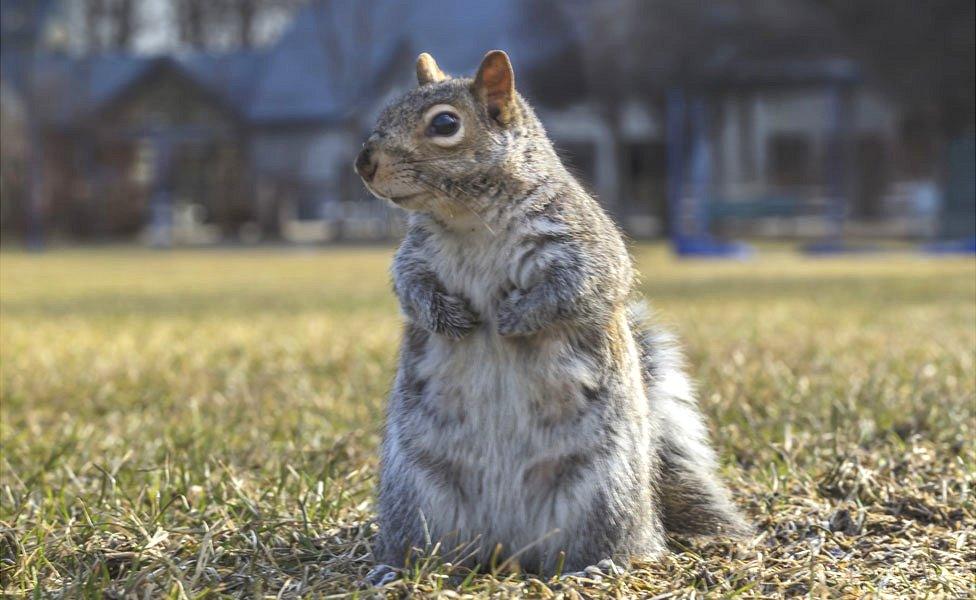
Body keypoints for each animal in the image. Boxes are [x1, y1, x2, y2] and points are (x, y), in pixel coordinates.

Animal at [358, 51, 748, 580]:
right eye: (388, 108)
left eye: (444, 124)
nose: (364, 162)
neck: (468, 220)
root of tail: (508, 549)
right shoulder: (415, 257)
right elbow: (409, 288)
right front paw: (447, 317)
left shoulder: (584, 245)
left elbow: (580, 288)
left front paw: (516, 317)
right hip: (417, 493)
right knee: (430, 543)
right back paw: (401, 568)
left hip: (601, 492)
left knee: (615, 543)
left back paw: (599, 566)